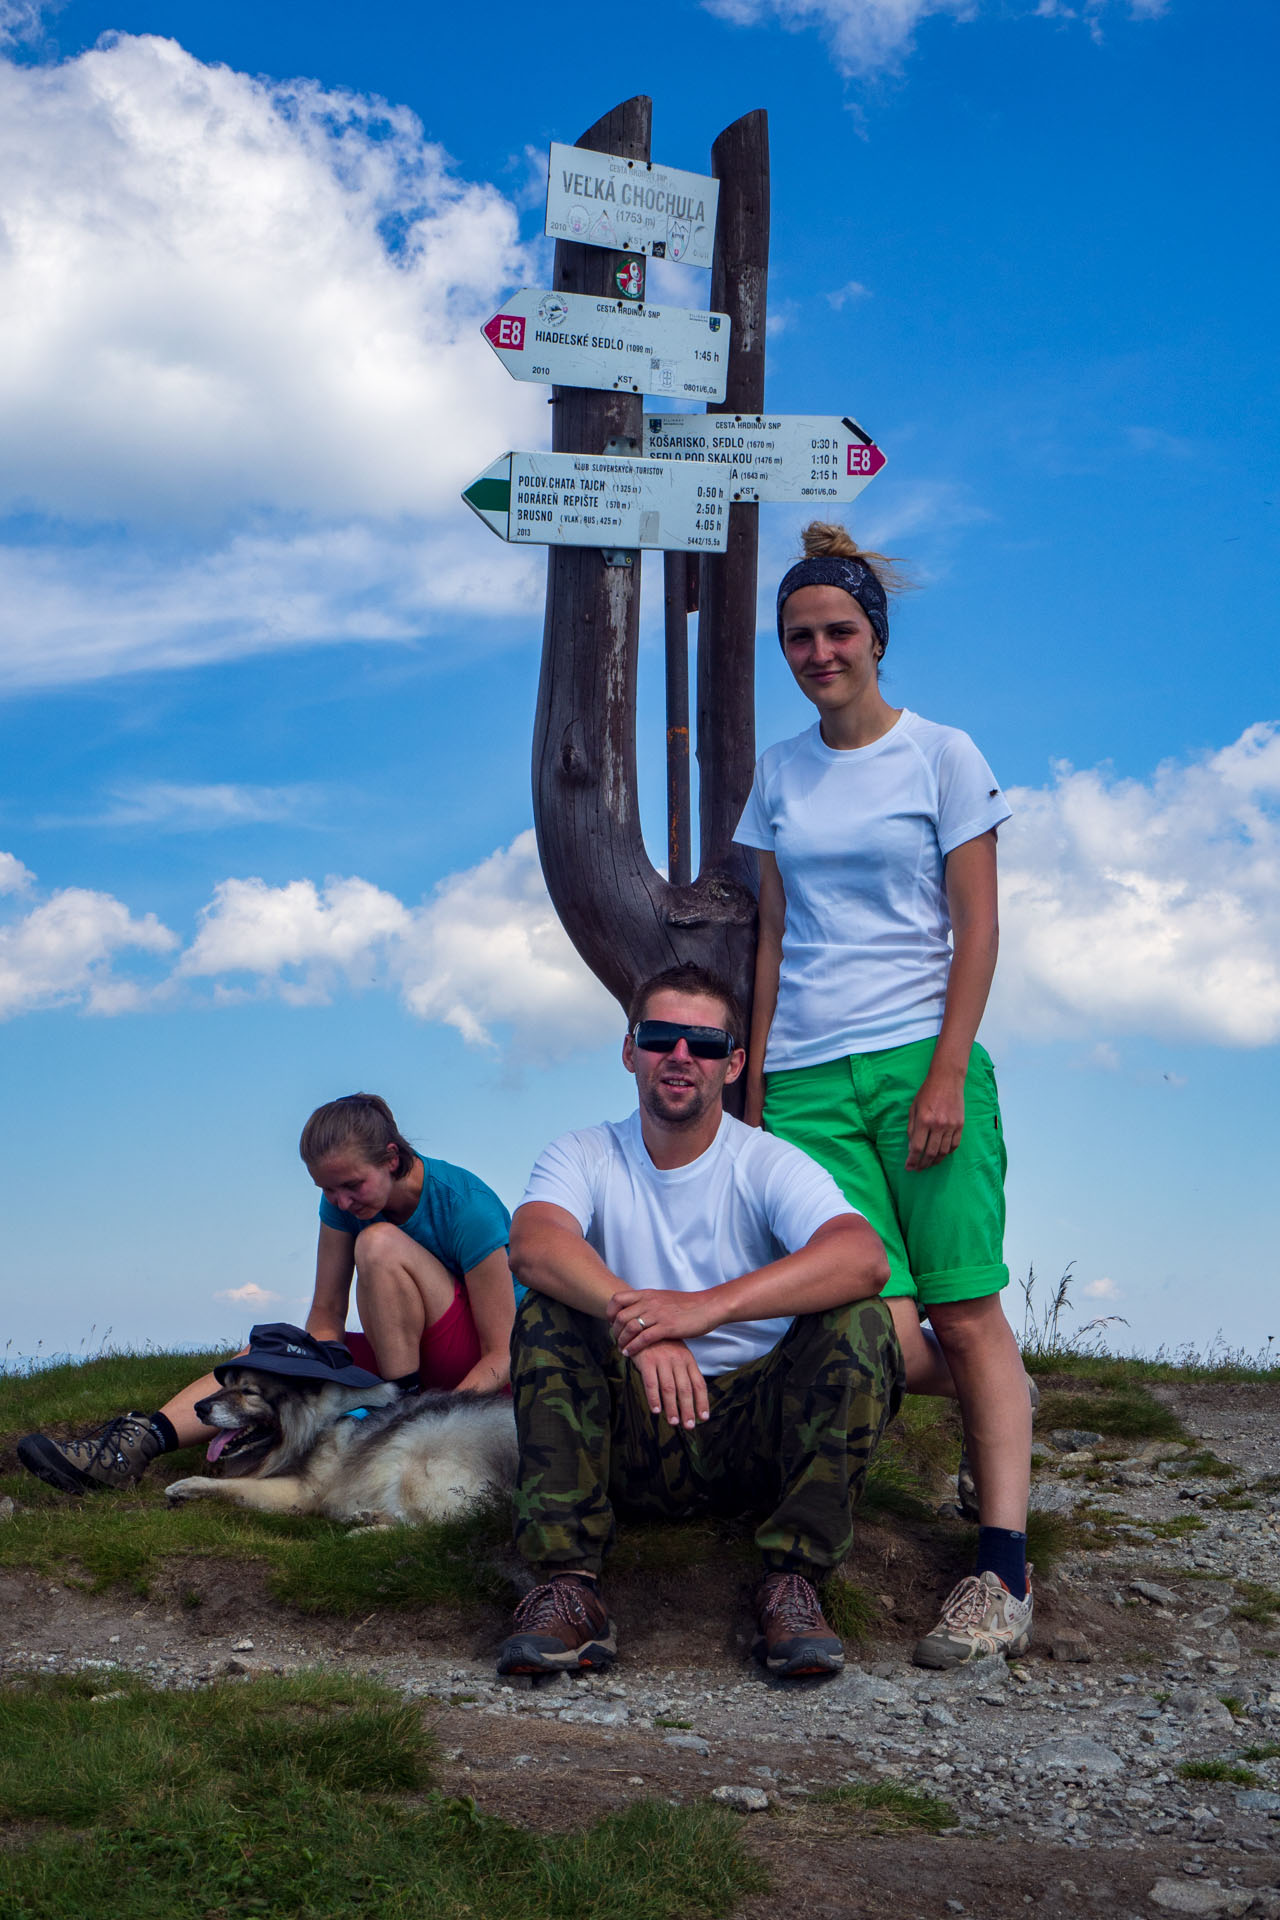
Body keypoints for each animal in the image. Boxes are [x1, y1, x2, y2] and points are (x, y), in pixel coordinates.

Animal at [164, 1367, 514, 1528]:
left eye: (249, 1391)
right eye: (225, 1385)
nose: (198, 1408)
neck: (324, 1420)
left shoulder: (301, 1493)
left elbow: (233, 1485)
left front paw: (188, 1486)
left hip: (415, 1462)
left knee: (431, 1529)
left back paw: (366, 1530)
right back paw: (367, 1516)